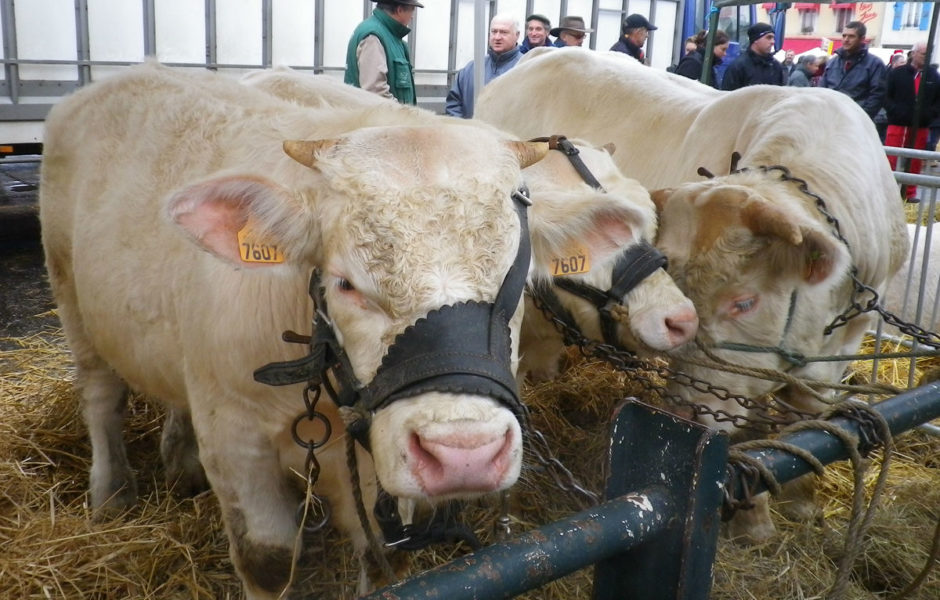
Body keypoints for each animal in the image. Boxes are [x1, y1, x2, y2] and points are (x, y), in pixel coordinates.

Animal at [478, 49, 912, 540]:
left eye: (745, 302)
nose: (687, 414)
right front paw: (755, 520)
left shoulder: (840, 348)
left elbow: (805, 420)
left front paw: (802, 500)